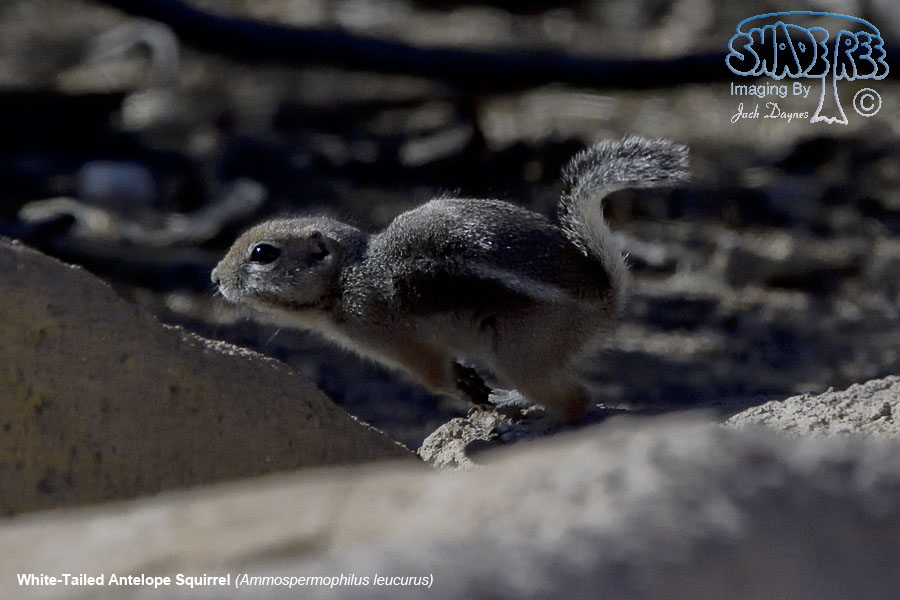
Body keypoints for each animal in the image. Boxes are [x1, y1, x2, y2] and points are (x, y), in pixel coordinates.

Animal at [211, 136, 689, 422]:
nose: (215, 277)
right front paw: (472, 383)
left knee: (578, 399)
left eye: (263, 253)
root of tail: (605, 294)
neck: (349, 276)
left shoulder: (400, 343)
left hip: (520, 350)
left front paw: (466, 387)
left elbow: (434, 376)